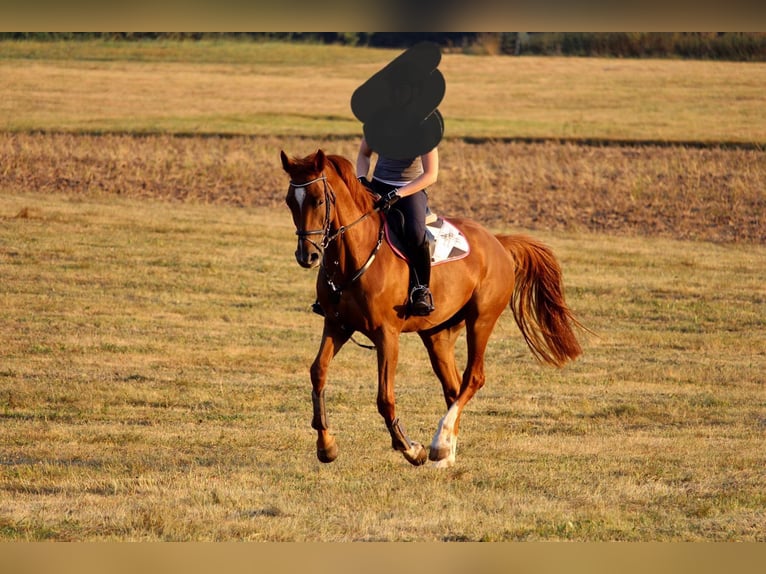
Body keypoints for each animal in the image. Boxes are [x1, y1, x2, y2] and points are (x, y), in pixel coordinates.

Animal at [280, 151, 584, 470]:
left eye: (318, 200)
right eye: (290, 201)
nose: (307, 255)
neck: (353, 257)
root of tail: (497, 242)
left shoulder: (387, 335)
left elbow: (384, 398)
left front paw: (411, 448)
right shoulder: (336, 325)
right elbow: (318, 373)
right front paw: (326, 446)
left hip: (481, 320)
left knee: (473, 378)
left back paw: (438, 444)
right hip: (438, 334)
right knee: (453, 387)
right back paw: (447, 452)